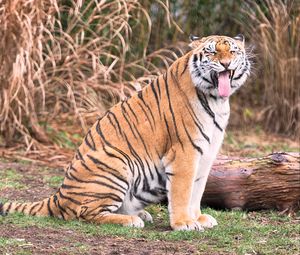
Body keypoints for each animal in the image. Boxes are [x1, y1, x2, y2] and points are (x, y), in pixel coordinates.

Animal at [0, 34, 251, 231]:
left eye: (233, 51)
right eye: (212, 52)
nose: (226, 64)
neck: (217, 100)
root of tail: (59, 195)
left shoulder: (206, 154)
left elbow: (196, 191)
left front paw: (198, 218)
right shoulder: (184, 153)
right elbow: (183, 192)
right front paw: (184, 223)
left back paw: (140, 215)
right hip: (116, 163)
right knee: (84, 212)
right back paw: (131, 221)